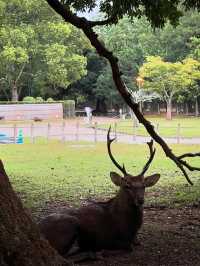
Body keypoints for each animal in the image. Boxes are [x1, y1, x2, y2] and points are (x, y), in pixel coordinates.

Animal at [38, 127, 160, 258]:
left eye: (144, 185)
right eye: (127, 185)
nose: (140, 200)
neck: (131, 228)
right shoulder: (109, 238)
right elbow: (128, 247)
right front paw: (104, 251)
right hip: (69, 225)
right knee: (64, 253)